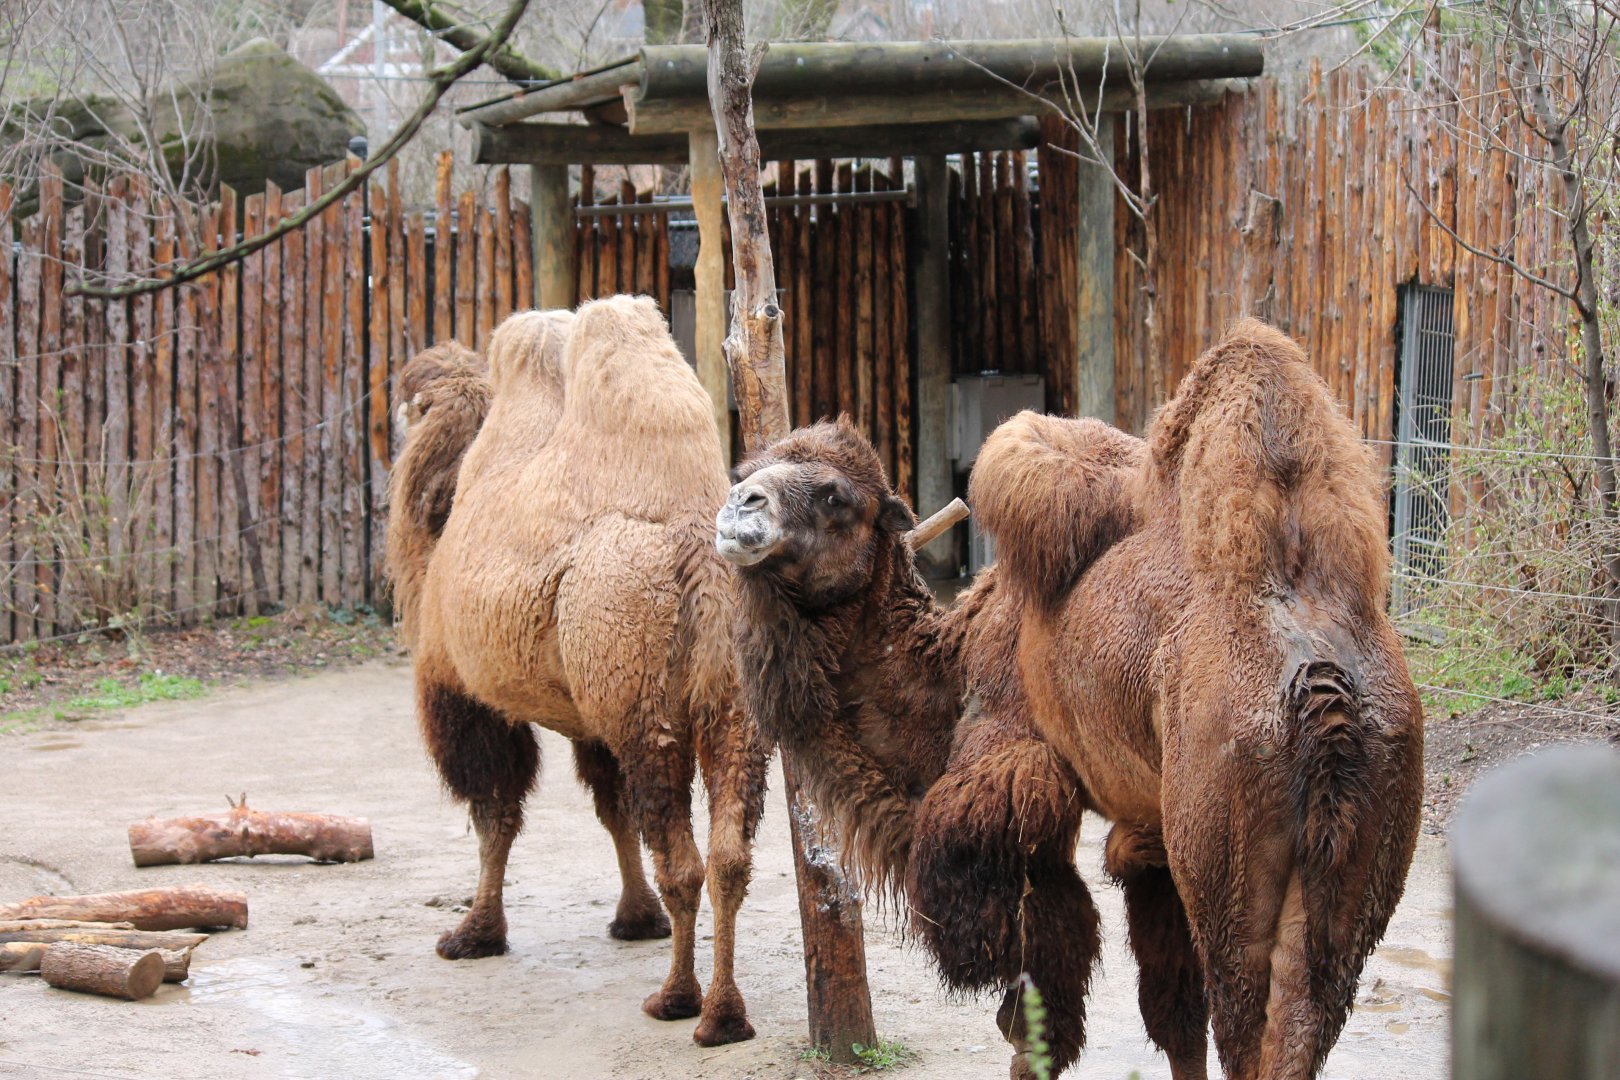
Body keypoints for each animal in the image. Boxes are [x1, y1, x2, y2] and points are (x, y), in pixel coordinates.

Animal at [388, 296, 768, 1047]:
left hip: (641, 697)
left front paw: (473, 934)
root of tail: (699, 556)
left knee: (683, 860)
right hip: (732, 708)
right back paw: (726, 1013)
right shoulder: (595, 720)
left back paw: (677, 1000)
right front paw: (634, 919)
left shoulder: (461, 690)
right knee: (728, 857)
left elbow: (494, 813)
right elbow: (610, 809)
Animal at [714, 320, 1423, 1078]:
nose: (739, 509)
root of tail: (1325, 682)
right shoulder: (1149, 837)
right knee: (1301, 1015)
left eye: (835, 496)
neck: (954, 660)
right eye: (747, 469)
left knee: (1246, 1021)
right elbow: (1173, 1014)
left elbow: (1038, 1001)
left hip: (1225, 861)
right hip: (1360, 853)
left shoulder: (1019, 782)